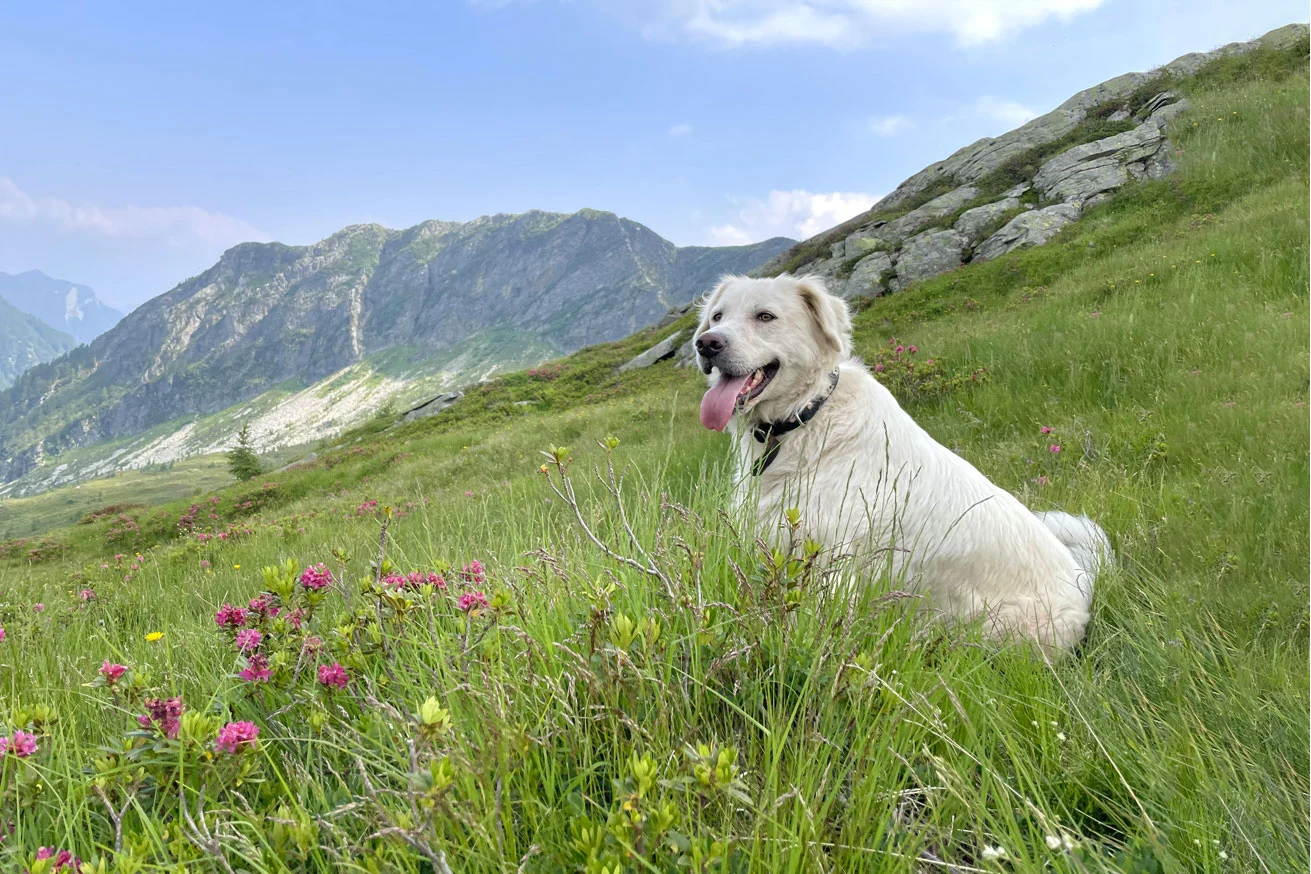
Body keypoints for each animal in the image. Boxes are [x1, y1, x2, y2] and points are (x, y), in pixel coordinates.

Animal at [692, 273, 1111, 649]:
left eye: (765, 316)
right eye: (717, 316)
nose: (706, 344)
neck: (804, 415)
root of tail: (1084, 581)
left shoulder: (831, 560)